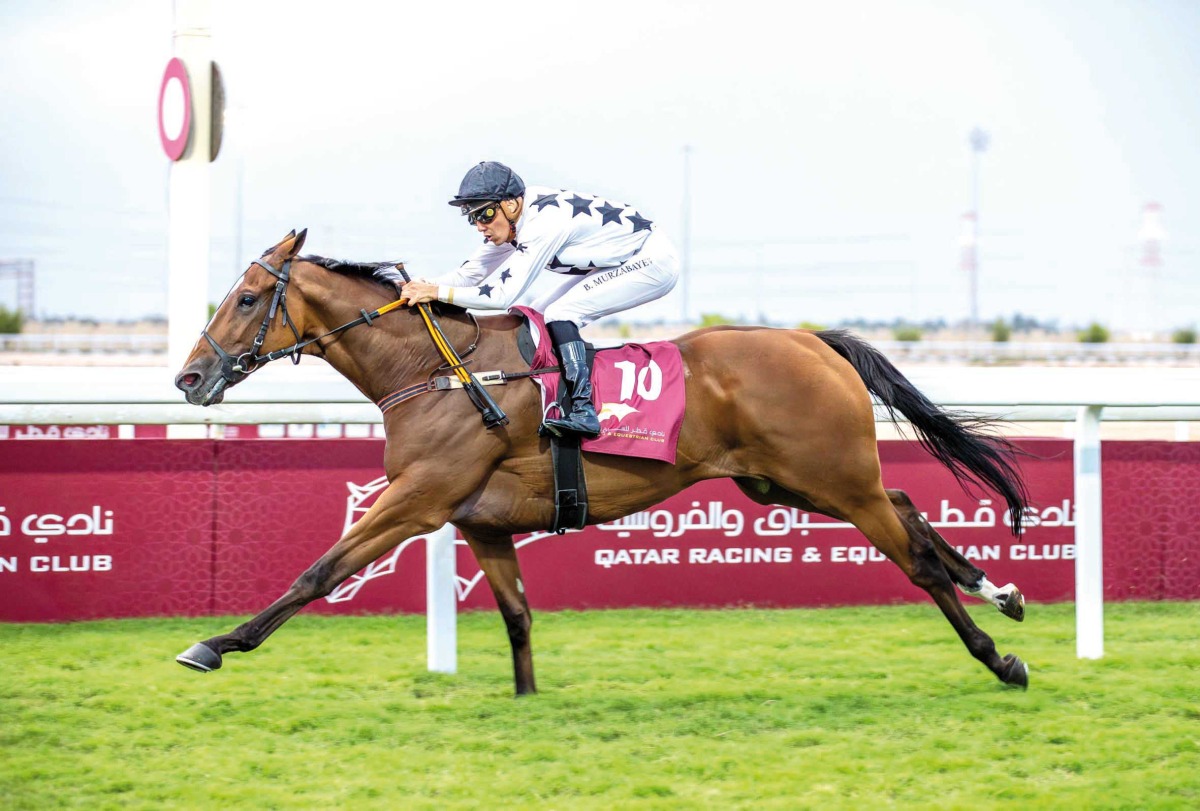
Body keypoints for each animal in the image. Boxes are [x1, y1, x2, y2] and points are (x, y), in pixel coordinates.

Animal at [175, 231, 1032, 695]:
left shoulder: (417, 498)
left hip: (833, 478)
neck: (439, 371)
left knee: (916, 558)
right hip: (788, 482)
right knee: (912, 509)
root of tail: (813, 340)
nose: (189, 377)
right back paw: (1003, 590)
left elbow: (318, 571)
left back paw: (999, 656)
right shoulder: (479, 521)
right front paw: (527, 701)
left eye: (247, 298)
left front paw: (215, 643)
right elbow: (518, 616)